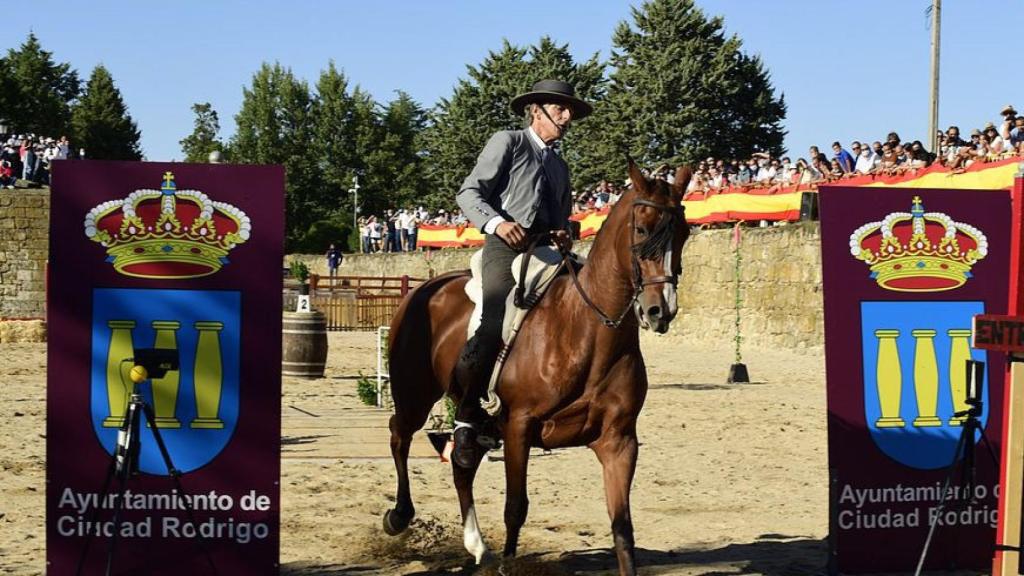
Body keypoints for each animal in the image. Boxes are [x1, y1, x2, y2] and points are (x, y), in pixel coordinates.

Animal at [385, 161, 696, 573]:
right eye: (642, 228)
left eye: (684, 233)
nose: (661, 310)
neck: (586, 331)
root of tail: (424, 288)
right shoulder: (519, 427)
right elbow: (516, 508)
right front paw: (508, 564)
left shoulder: (618, 441)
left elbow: (622, 526)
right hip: (415, 394)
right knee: (399, 435)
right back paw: (399, 516)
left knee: (461, 463)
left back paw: (477, 547)